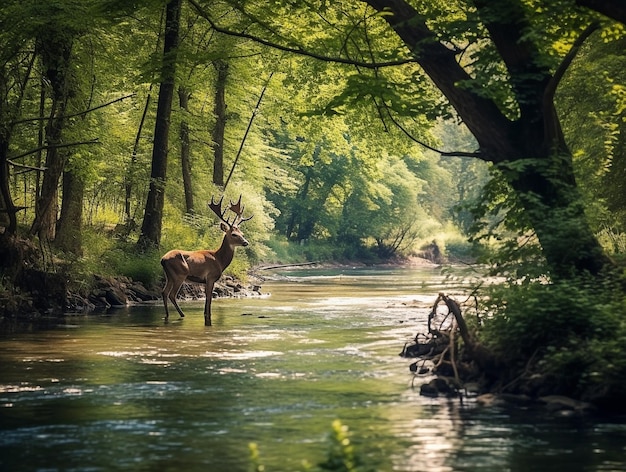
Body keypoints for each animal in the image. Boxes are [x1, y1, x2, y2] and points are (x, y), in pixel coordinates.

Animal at [160, 195, 252, 324]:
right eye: (234, 234)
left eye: (242, 233)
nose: (245, 242)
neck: (219, 260)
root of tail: (162, 259)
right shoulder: (211, 277)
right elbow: (209, 298)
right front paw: (208, 315)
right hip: (180, 274)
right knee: (172, 294)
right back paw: (182, 315)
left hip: (169, 276)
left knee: (164, 292)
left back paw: (167, 315)